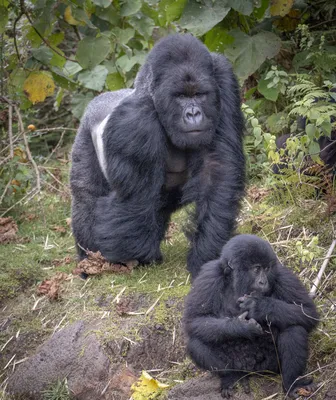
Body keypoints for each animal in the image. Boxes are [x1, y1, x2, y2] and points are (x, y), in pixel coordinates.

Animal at [71, 33, 244, 278]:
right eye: (180, 96)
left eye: (199, 95)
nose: (193, 114)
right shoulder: (135, 120)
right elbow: (134, 198)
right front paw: (131, 259)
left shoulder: (224, 79)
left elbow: (217, 169)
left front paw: (207, 252)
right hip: (85, 131)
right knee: (86, 197)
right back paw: (90, 261)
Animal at [184, 234, 318, 396]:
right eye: (256, 269)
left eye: (266, 269)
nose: (263, 282)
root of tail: (251, 371)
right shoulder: (209, 275)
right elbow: (195, 319)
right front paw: (241, 327)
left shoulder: (282, 275)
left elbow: (308, 312)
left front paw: (259, 307)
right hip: (239, 365)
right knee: (196, 342)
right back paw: (231, 377)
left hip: (268, 366)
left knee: (293, 329)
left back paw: (292, 383)